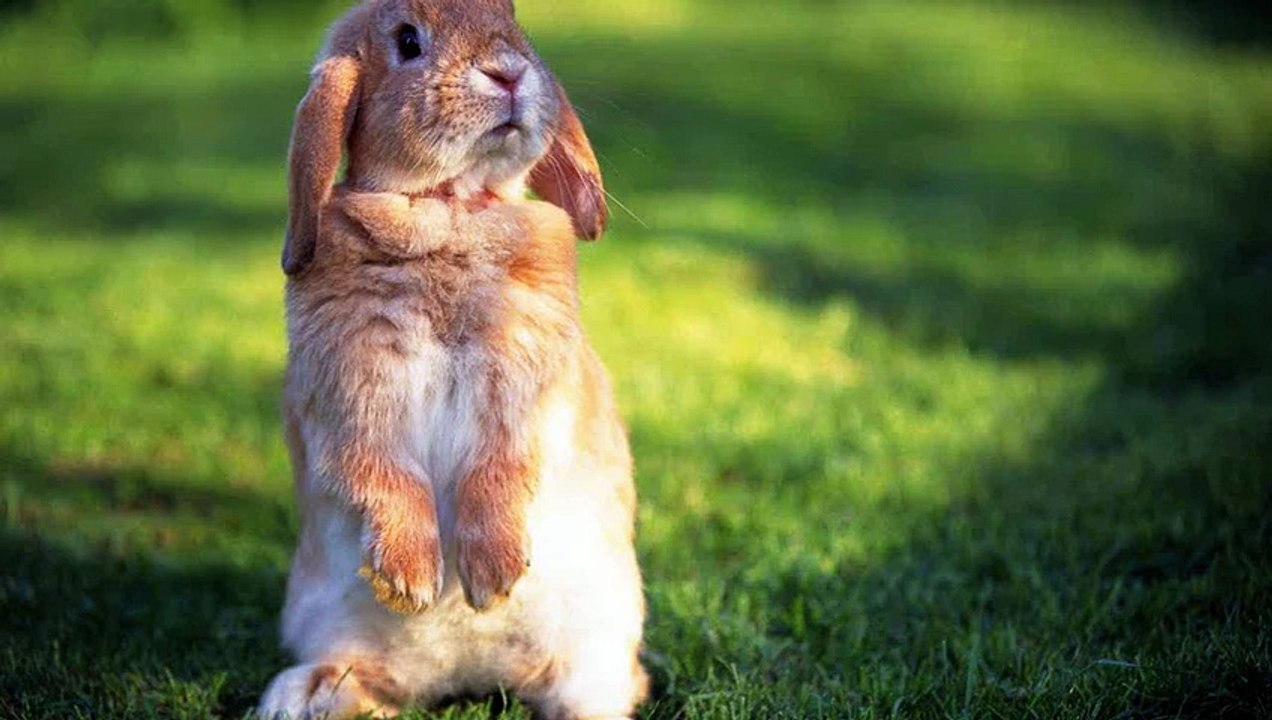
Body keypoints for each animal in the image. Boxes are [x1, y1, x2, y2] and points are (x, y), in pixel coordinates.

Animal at [257, 1, 647, 718]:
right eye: (408, 41)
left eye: (514, 19)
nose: (509, 72)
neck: (447, 208)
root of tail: (466, 674)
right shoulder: (353, 393)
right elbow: (384, 473)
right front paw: (411, 582)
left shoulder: (522, 387)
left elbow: (499, 468)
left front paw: (492, 580)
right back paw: (304, 693)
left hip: (593, 656)